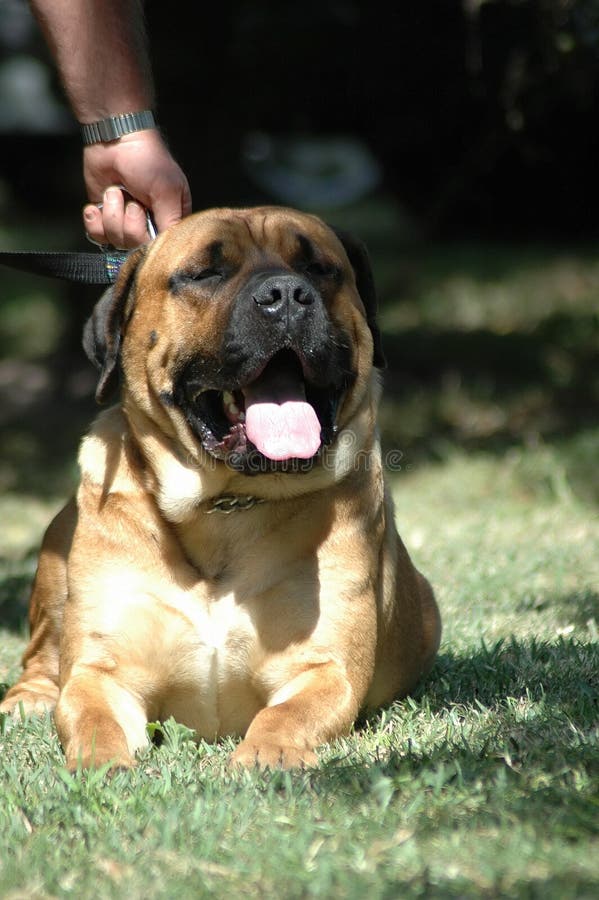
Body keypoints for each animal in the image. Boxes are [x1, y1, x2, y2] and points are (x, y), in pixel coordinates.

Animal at [0, 207, 440, 768]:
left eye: (319, 268)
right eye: (205, 273)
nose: (287, 294)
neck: (223, 504)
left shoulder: (323, 668)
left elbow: (285, 715)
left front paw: (266, 756)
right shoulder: (103, 671)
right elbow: (93, 718)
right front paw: (100, 765)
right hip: (55, 555)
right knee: (39, 657)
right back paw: (27, 701)